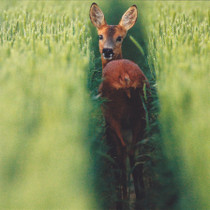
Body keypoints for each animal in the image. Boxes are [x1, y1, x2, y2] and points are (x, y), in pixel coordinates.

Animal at [89, 2, 150, 207]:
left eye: (119, 38)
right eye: (100, 36)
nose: (107, 51)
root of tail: (125, 78)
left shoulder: (108, 120)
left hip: (113, 113)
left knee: (122, 150)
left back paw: (122, 194)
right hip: (141, 113)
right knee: (135, 151)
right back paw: (139, 194)